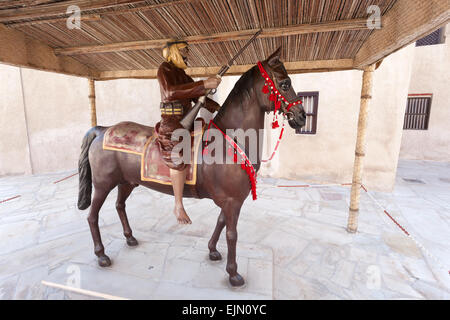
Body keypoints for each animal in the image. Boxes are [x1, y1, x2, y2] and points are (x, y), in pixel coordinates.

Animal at [79, 48, 308, 288]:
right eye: (284, 83)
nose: (302, 116)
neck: (230, 140)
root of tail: (102, 130)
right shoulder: (233, 202)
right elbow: (232, 234)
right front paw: (233, 274)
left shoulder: (229, 201)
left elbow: (220, 222)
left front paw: (213, 251)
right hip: (103, 184)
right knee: (92, 216)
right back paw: (102, 255)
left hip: (127, 182)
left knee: (120, 205)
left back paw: (130, 237)